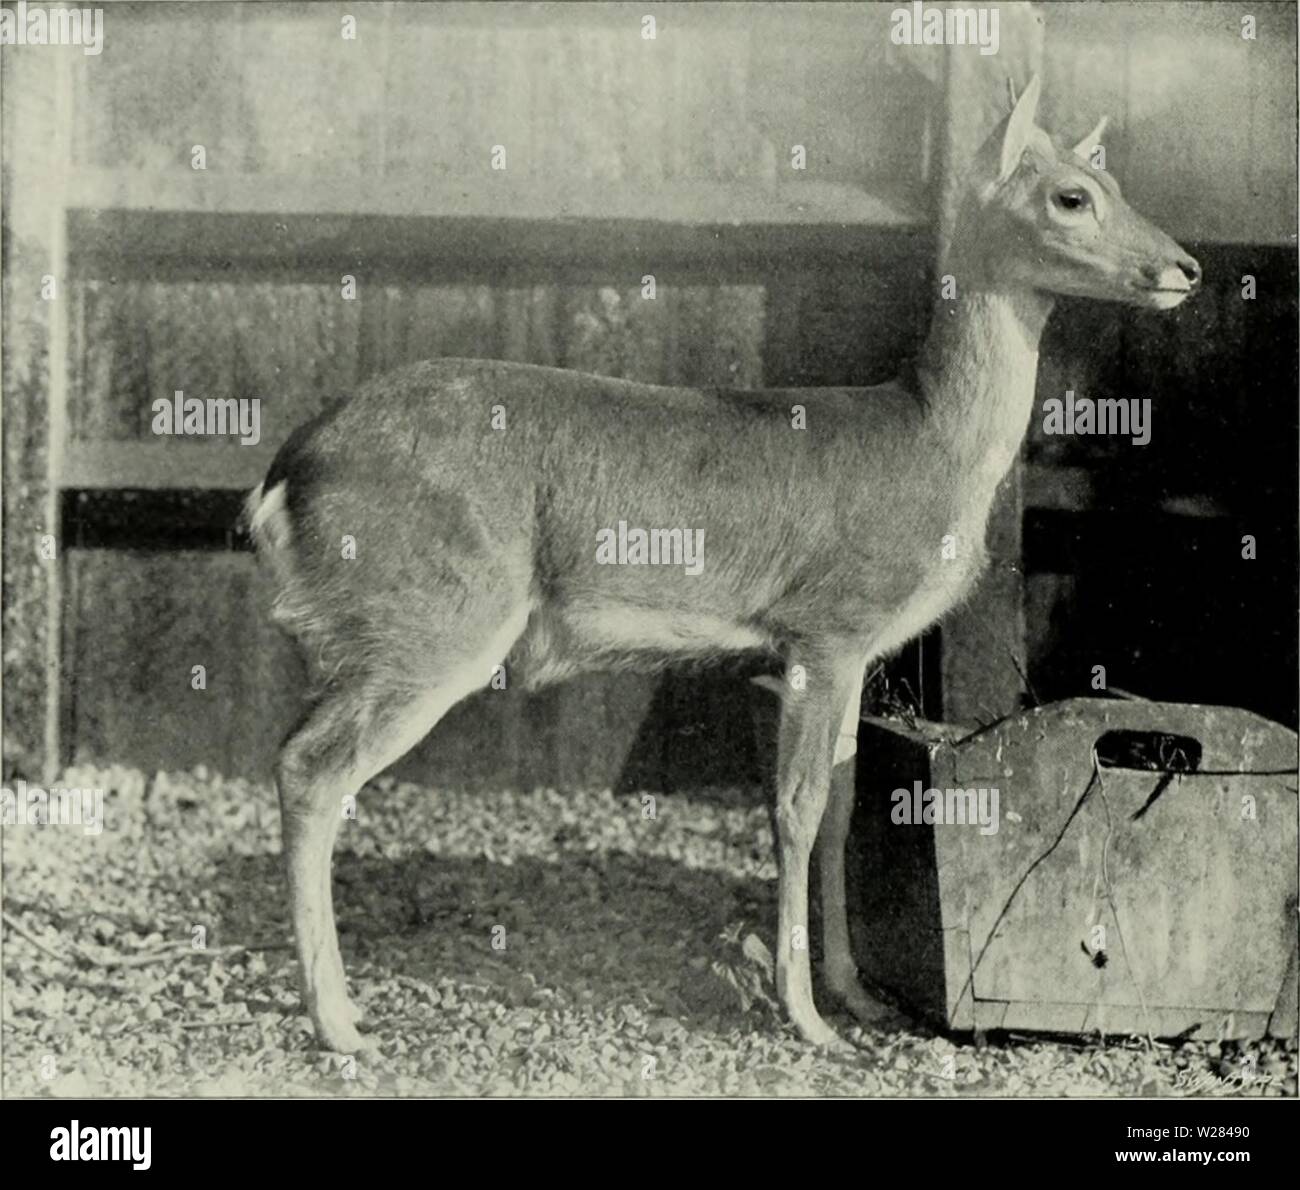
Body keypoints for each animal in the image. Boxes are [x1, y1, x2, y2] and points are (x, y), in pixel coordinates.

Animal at [244, 76, 1196, 1050]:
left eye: (1111, 181)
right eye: (1071, 197)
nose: (1187, 268)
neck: (928, 444)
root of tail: (284, 477)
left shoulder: (844, 653)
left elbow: (844, 805)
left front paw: (854, 998)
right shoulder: (828, 626)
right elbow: (796, 808)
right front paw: (808, 1020)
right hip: (434, 618)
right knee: (310, 770)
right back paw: (339, 1024)